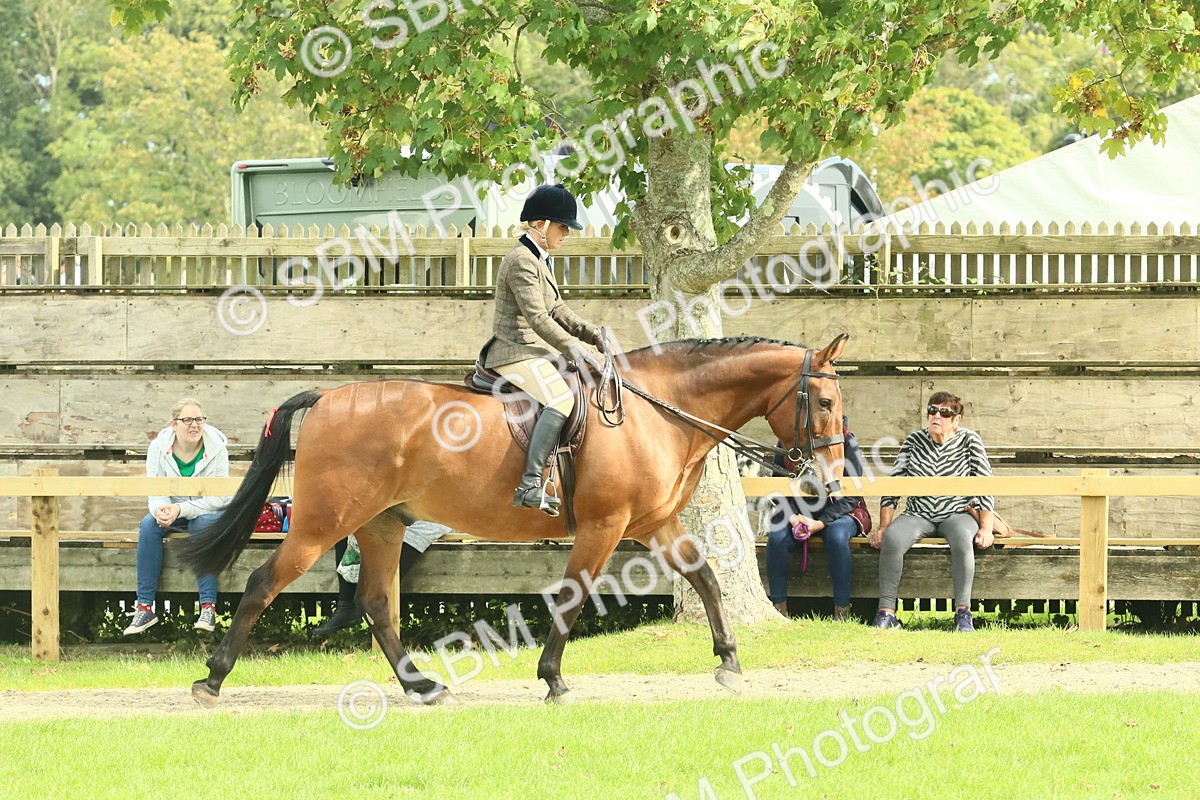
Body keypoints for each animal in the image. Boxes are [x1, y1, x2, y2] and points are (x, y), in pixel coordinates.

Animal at [181, 333, 849, 707]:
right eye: (825, 402)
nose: (830, 478)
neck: (658, 411)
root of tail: (328, 397)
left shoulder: (654, 523)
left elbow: (707, 578)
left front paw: (729, 662)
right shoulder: (606, 526)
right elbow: (574, 595)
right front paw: (552, 679)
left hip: (382, 524)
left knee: (376, 602)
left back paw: (420, 686)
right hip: (323, 524)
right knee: (263, 585)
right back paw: (211, 680)